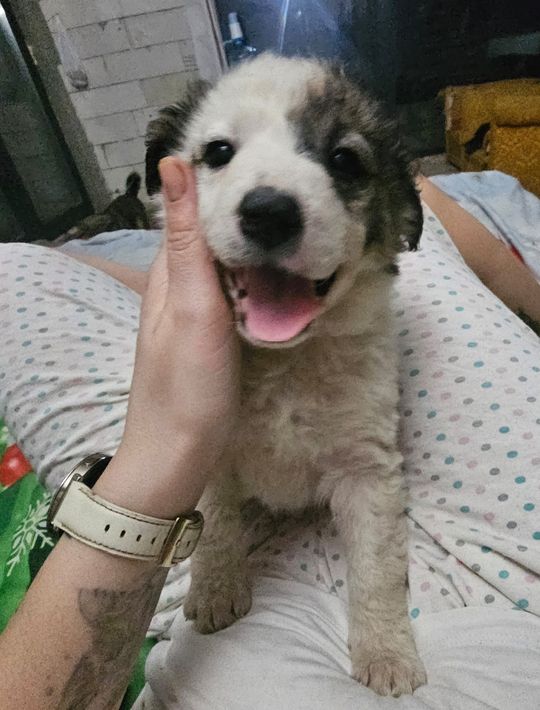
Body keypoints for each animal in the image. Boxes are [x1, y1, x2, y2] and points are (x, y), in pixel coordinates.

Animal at [145, 54, 426, 697]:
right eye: (218, 151)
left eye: (344, 160)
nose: (268, 211)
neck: (285, 362)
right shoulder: (212, 454)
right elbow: (216, 524)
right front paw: (216, 591)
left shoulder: (368, 468)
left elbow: (376, 567)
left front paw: (387, 653)